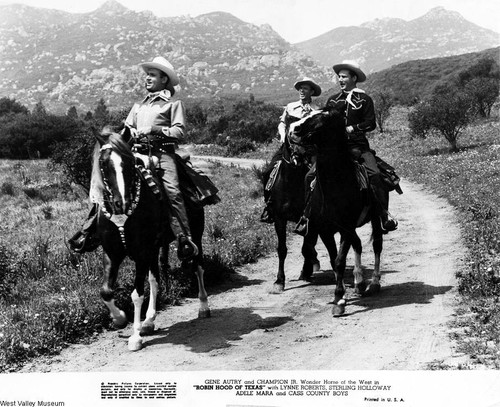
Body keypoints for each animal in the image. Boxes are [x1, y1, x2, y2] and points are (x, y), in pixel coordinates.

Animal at [94, 131, 209, 350]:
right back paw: (148, 321)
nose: (121, 203)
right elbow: (105, 291)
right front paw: (120, 318)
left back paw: (203, 306)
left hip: (195, 235)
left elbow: (137, 294)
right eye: (103, 163)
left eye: (129, 162)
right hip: (155, 249)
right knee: (155, 279)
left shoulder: (141, 253)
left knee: (198, 267)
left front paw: (135, 337)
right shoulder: (112, 253)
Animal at [290, 109, 382, 318]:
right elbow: (334, 261)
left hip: (375, 218)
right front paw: (341, 295)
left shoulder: (346, 228)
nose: (293, 128)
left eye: (323, 119)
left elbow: (340, 261)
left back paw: (374, 283)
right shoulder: (326, 230)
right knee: (358, 244)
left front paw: (339, 299)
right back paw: (359, 282)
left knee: (377, 246)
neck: (336, 184)